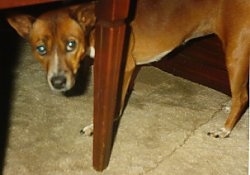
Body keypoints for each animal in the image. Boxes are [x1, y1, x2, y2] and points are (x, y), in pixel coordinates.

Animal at [6, 0, 249, 138]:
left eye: (71, 44)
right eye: (41, 49)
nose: (57, 82)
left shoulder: (123, 67)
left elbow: (112, 103)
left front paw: (100, 127)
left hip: (235, 53)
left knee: (242, 96)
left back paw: (225, 129)